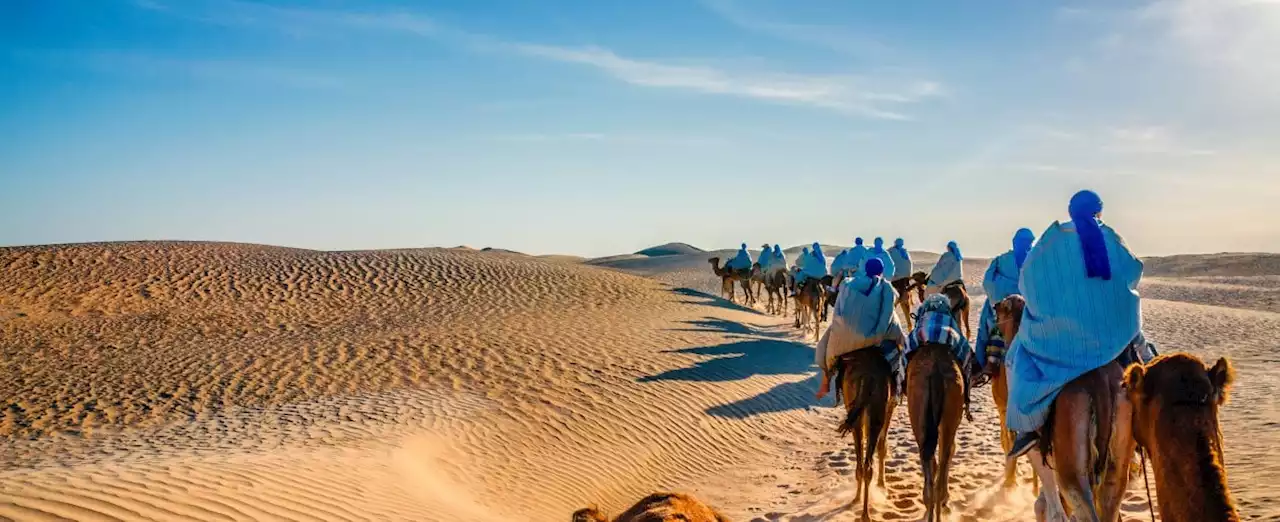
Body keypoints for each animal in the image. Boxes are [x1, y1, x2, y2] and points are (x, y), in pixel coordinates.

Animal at [834, 345, 896, 522]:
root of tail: (868, 377)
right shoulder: (890, 405)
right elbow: (883, 446)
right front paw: (882, 485)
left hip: (855, 409)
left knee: (862, 464)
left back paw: (858, 503)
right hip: (878, 411)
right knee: (869, 460)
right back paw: (865, 513)